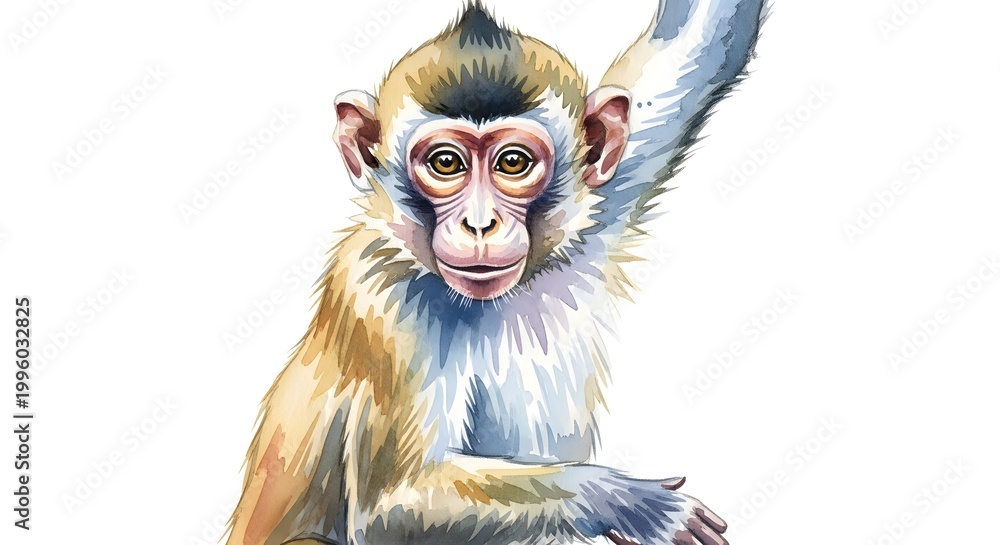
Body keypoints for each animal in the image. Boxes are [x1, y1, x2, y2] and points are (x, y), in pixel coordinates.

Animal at [225, 1, 765, 544]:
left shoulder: (602, 195)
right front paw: (629, 502)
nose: (480, 223)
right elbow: (386, 509)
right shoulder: (384, 304)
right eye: (446, 163)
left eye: (513, 162)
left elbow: (701, 45)